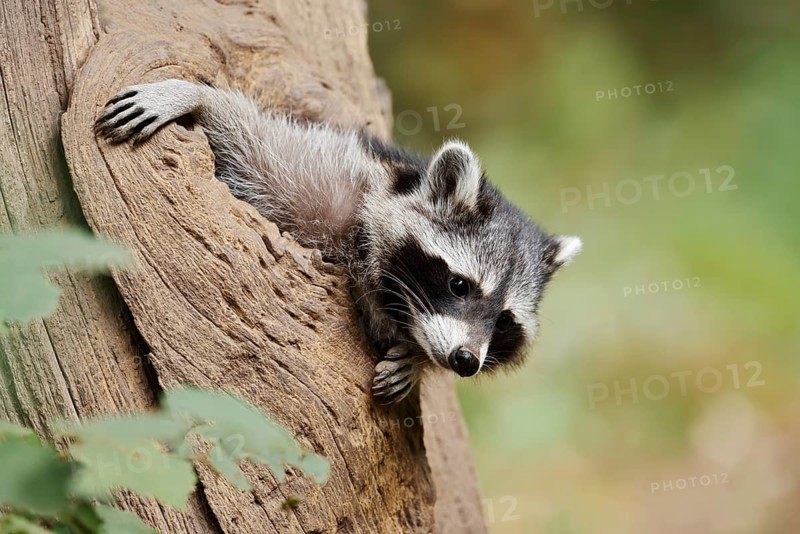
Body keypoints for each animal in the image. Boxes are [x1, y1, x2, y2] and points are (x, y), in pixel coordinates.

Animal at [95, 79, 582, 404]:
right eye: (459, 285)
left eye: (503, 321)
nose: (465, 360)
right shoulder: (331, 182)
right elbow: (250, 146)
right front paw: (197, 95)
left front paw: (416, 361)